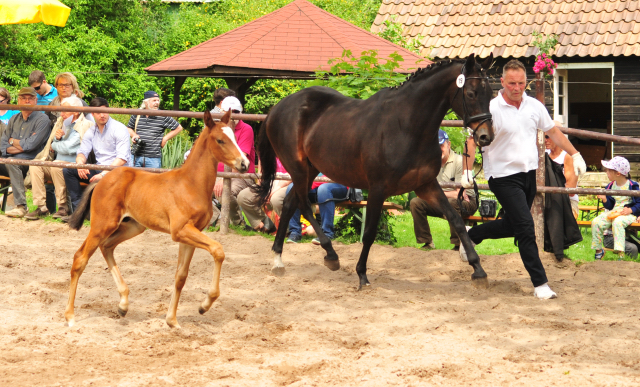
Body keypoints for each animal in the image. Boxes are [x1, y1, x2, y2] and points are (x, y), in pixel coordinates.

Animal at [65, 110, 249, 328]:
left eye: (235, 137)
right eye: (220, 140)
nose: (244, 163)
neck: (191, 184)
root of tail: (101, 180)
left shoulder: (191, 233)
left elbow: (181, 276)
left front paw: (172, 320)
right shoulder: (180, 231)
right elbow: (218, 250)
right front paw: (204, 305)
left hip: (132, 227)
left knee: (107, 247)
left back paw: (123, 304)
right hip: (102, 225)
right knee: (80, 258)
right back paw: (70, 316)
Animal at [255, 55, 496, 292]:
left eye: (491, 94)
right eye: (472, 93)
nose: (486, 137)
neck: (407, 125)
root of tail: (277, 108)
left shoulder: (426, 185)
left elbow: (456, 219)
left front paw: (479, 271)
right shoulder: (378, 189)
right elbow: (369, 232)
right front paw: (362, 275)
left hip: (310, 168)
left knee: (289, 204)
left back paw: (278, 260)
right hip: (298, 168)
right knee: (303, 204)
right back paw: (331, 255)